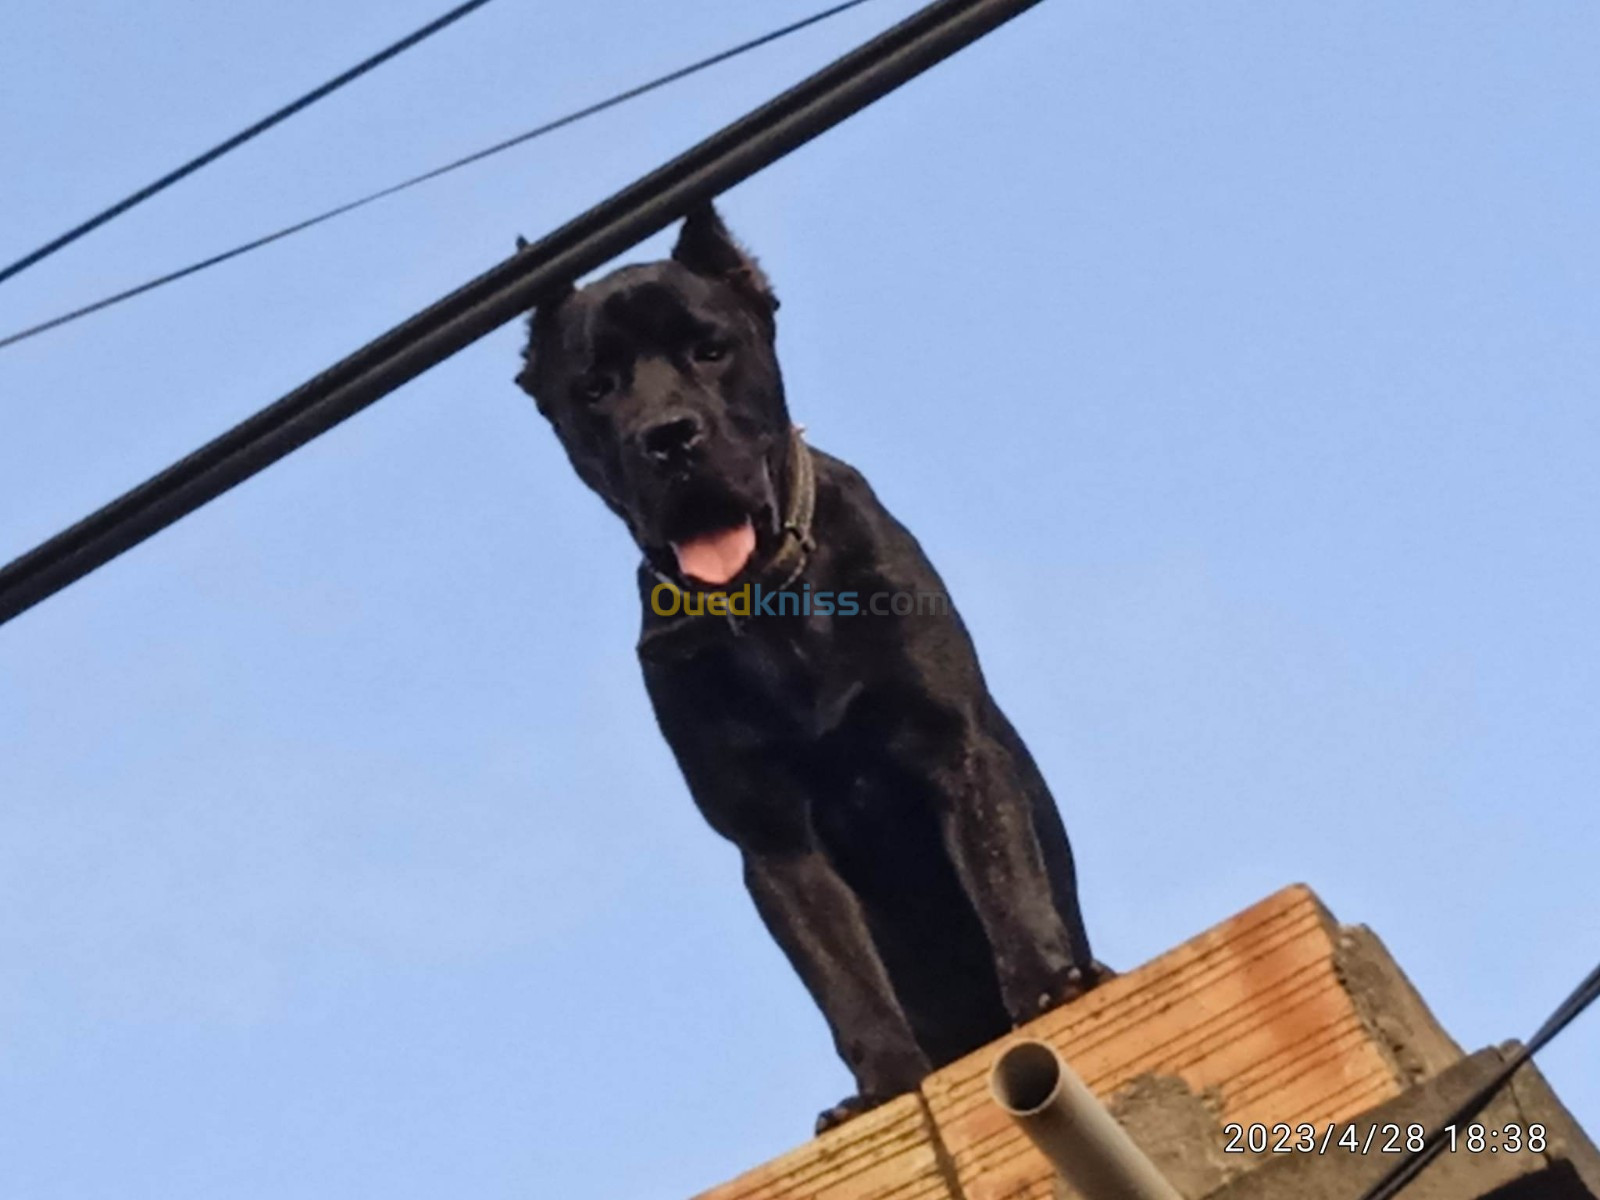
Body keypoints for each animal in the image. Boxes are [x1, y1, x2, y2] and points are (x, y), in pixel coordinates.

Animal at [521, 206, 1100, 1139]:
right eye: (596, 388)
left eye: (710, 349)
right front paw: (883, 1088)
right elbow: (844, 979)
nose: (669, 437)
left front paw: (1050, 991)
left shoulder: (953, 746)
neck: (774, 610)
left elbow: (1004, 879)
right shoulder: (773, 835)